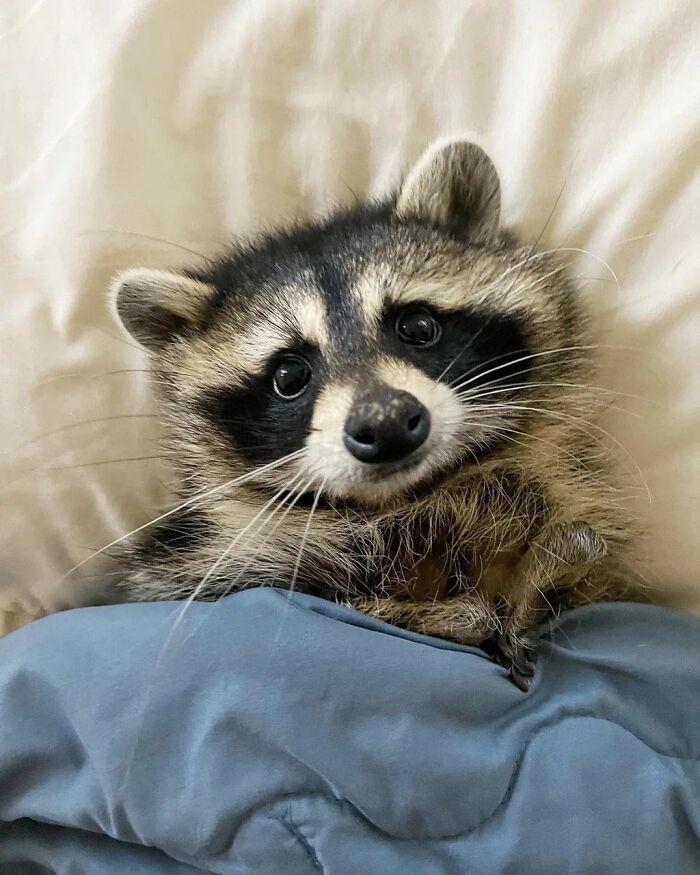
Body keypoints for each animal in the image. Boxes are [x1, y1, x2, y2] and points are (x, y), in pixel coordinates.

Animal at [112, 139, 640, 689]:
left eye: (419, 326)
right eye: (289, 376)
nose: (385, 424)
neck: (418, 494)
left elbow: (584, 548)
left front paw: (539, 581)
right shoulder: (199, 562)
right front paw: (462, 613)